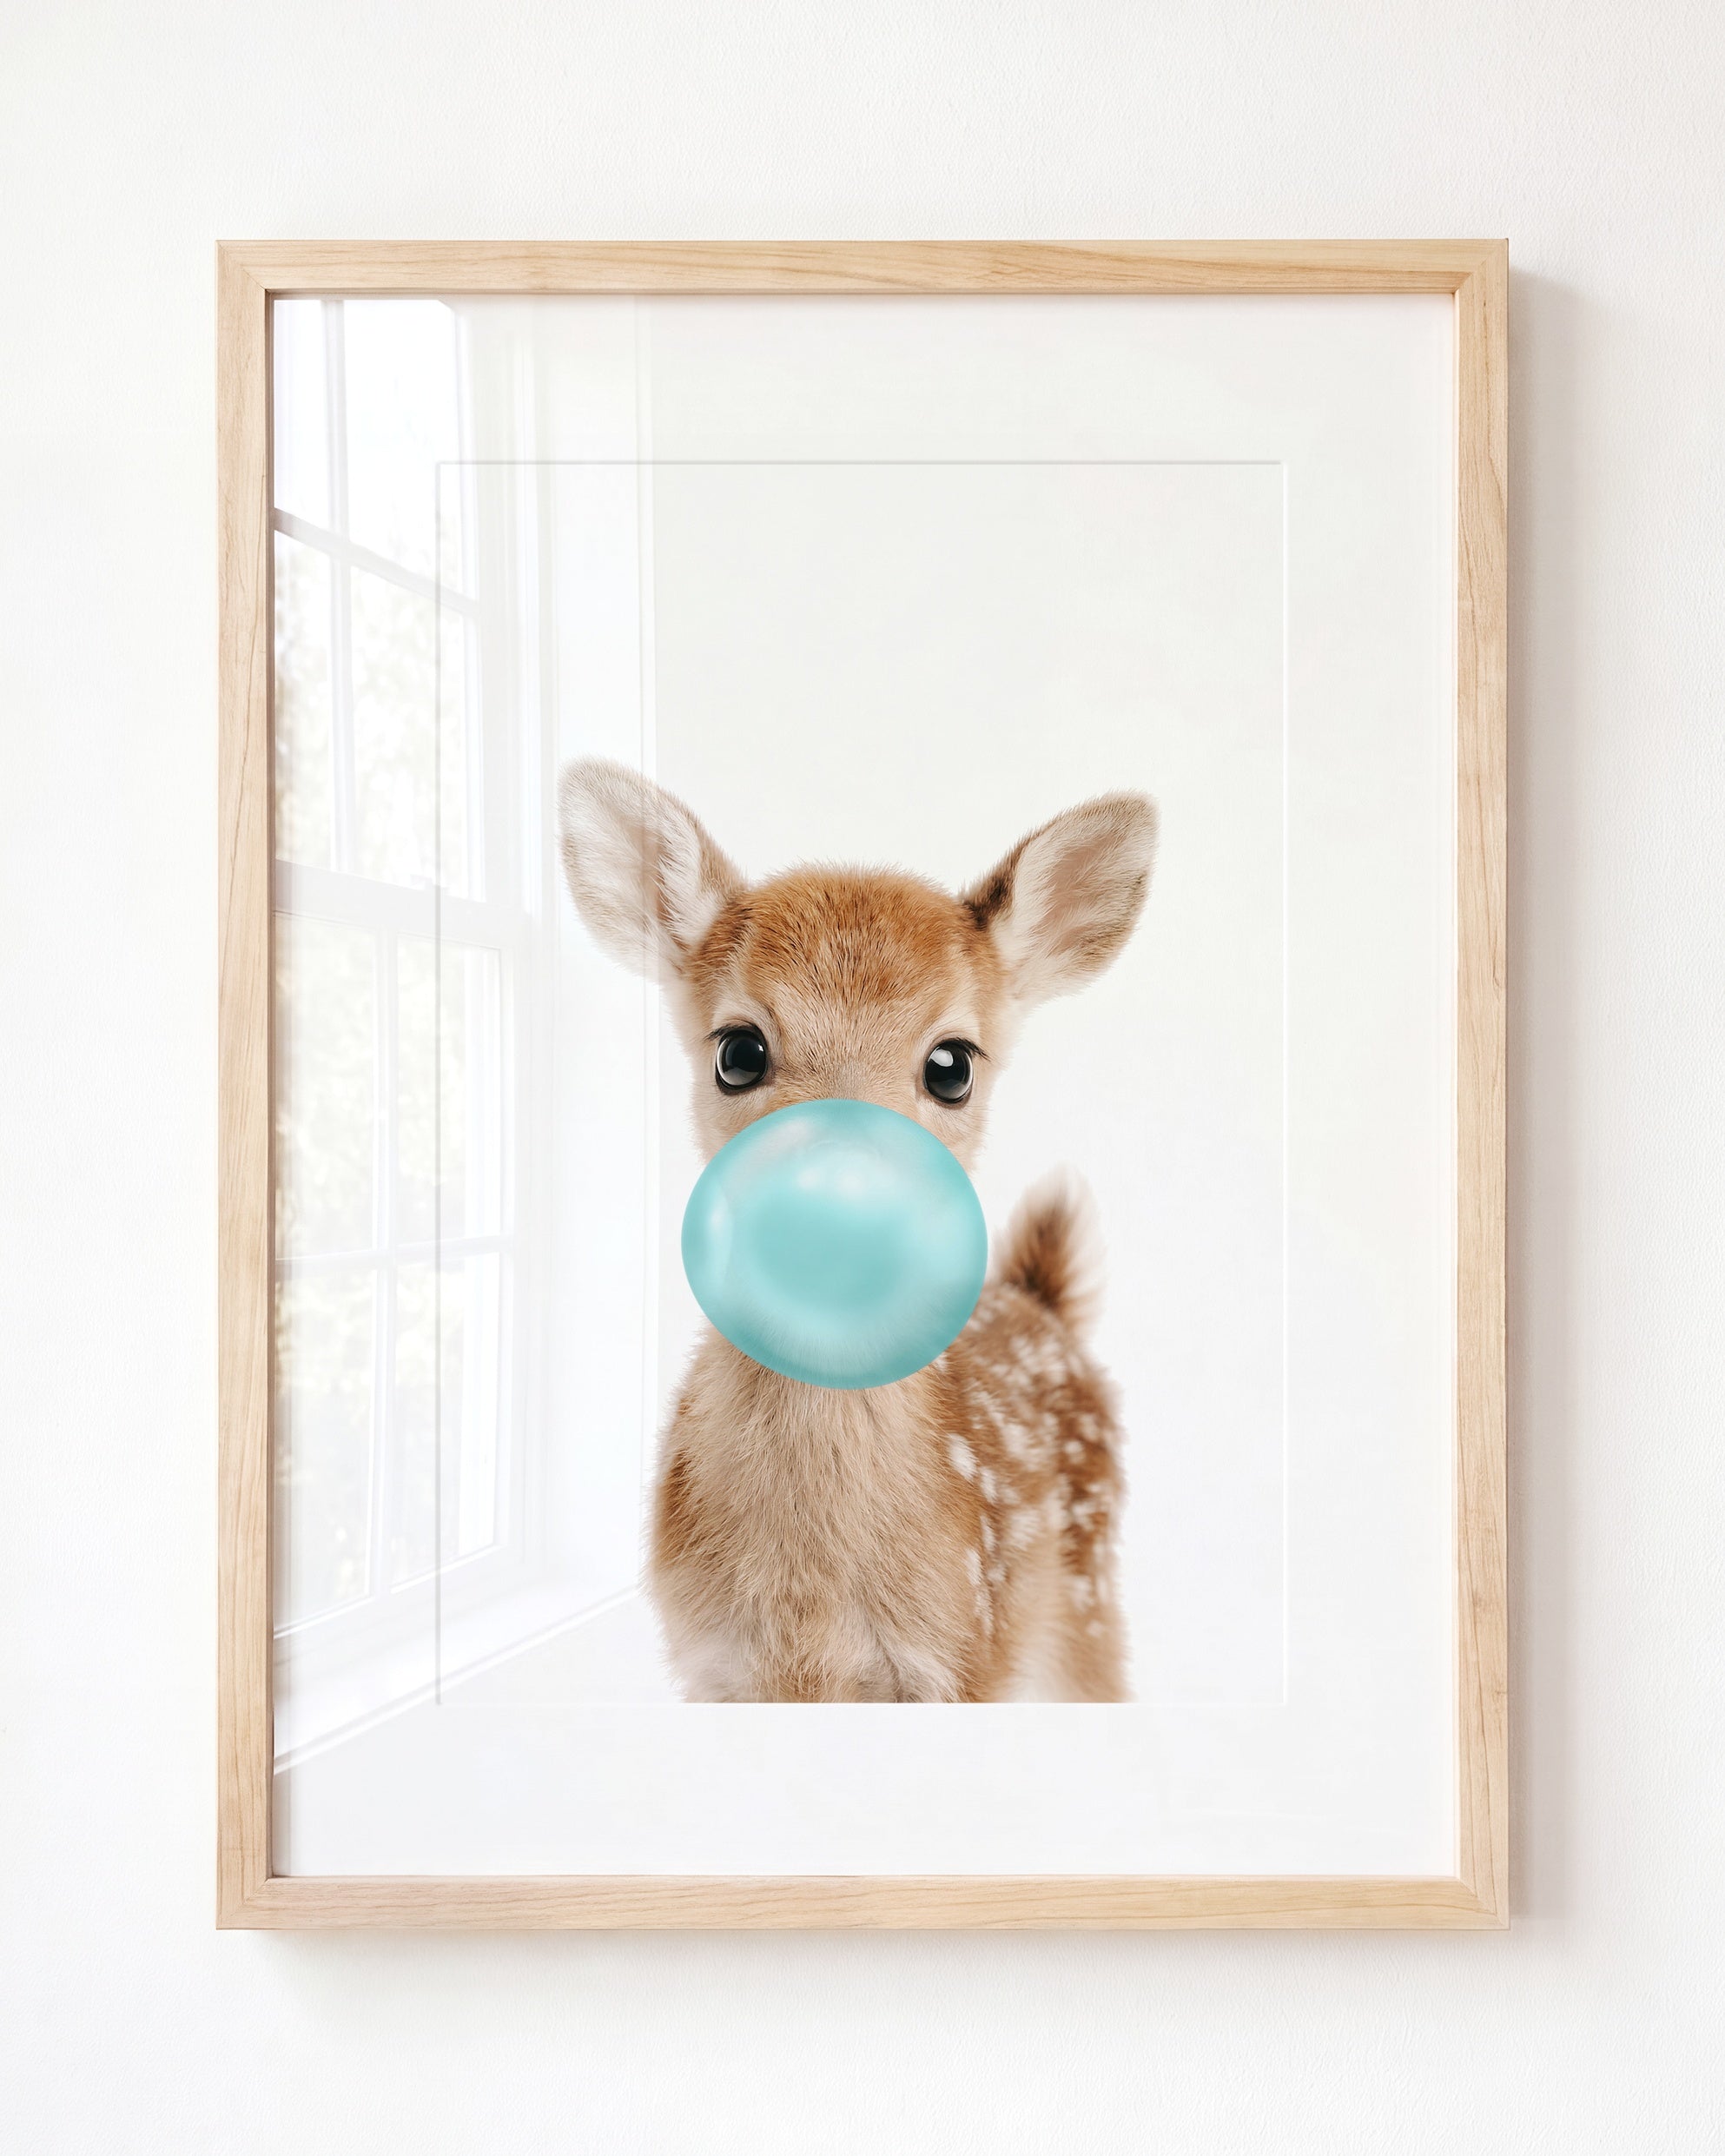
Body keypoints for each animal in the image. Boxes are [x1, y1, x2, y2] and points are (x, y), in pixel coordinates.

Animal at [558, 759, 1157, 1702]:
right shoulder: (711, 1666)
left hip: (1086, 1606)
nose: (838, 1205)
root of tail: (1043, 1303)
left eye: (952, 1065)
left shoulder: (962, 1655)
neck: (811, 1613)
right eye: (737, 1052)